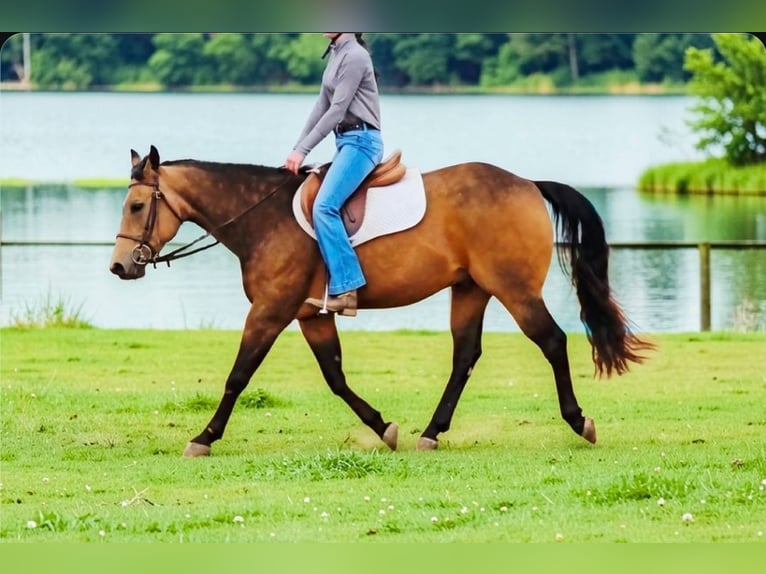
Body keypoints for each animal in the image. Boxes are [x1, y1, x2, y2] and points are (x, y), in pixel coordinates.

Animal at [110, 145, 652, 457]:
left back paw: (579, 421)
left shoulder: (269, 311)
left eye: (136, 205)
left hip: (515, 290)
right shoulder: (310, 315)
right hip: (470, 290)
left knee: (553, 341)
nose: (119, 267)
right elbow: (335, 377)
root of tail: (526, 183)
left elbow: (237, 376)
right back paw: (431, 432)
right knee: (465, 355)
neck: (264, 218)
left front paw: (204, 437)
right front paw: (383, 426)